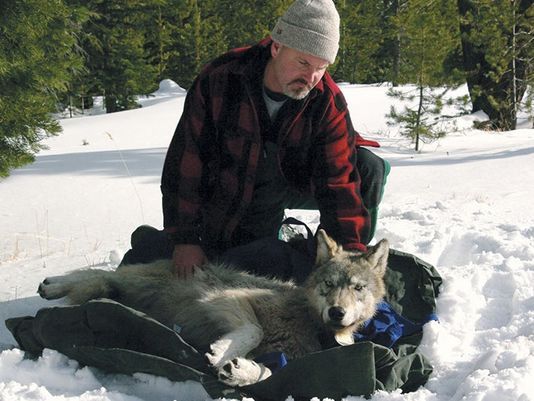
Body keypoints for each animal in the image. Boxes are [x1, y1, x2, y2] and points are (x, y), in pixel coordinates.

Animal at [37, 230, 390, 386]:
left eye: (358, 288)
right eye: (329, 284)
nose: (336, 312)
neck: (309, 322)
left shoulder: (286, 359)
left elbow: (268, 373)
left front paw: (240, 371)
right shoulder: (227, 298)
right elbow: (253, 330)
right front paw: (221, 354)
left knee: (100, 282)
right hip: (135, 279)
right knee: (93, 275)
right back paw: (51, 285)